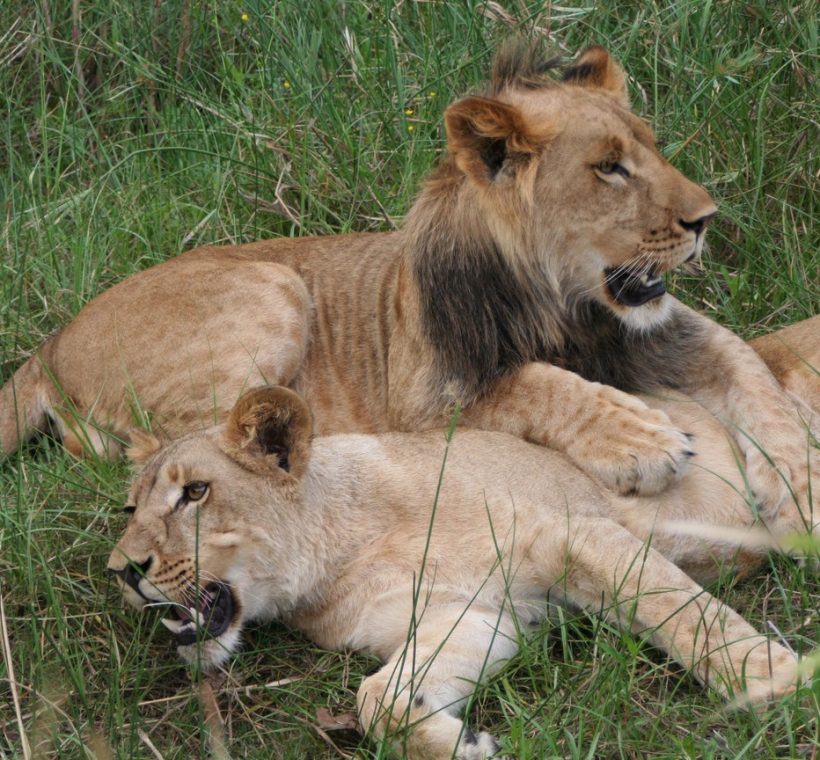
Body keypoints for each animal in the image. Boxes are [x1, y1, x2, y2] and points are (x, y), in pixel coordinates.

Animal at [2, 44, 816, 516]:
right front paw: (640, 437)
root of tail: (51, 343)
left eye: (651, 149)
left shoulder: (665, 330)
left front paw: (800, 484)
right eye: (610, 166)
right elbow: (535, 383)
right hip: (271, 287)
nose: (706, 219)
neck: (567, 305)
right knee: (173, 445)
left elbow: (753, 375)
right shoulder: (425, 400)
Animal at [108, 319, 818, 759]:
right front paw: (460, 743)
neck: (338, 556)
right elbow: (377, 699)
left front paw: (776, 682)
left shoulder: (574, 532)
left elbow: (687, 615)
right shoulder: (477, 614)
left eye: (195, 493)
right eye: (130, 507)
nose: (123, 569)